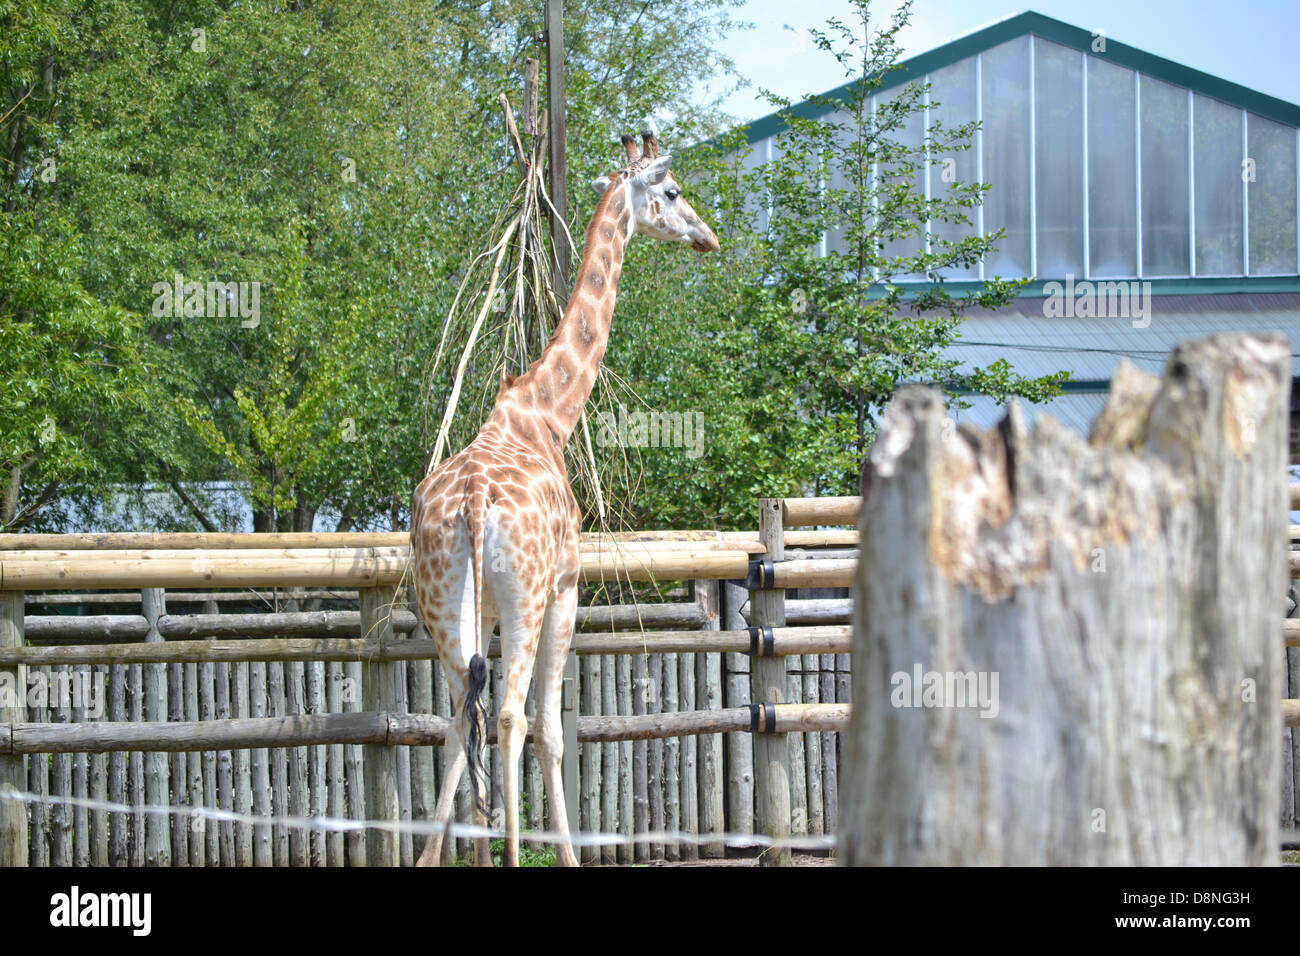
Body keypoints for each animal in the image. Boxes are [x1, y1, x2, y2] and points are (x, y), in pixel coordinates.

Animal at [410, 131, 719, 867]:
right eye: (672, 192)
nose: (708, 236)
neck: (550, 414)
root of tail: (472, 502)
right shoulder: (567, 585)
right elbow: (552, 730)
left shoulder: (486, 608)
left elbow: (470, 725)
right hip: (526, 595)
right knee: (511, 715)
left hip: (442, 602)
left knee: (460, 715)